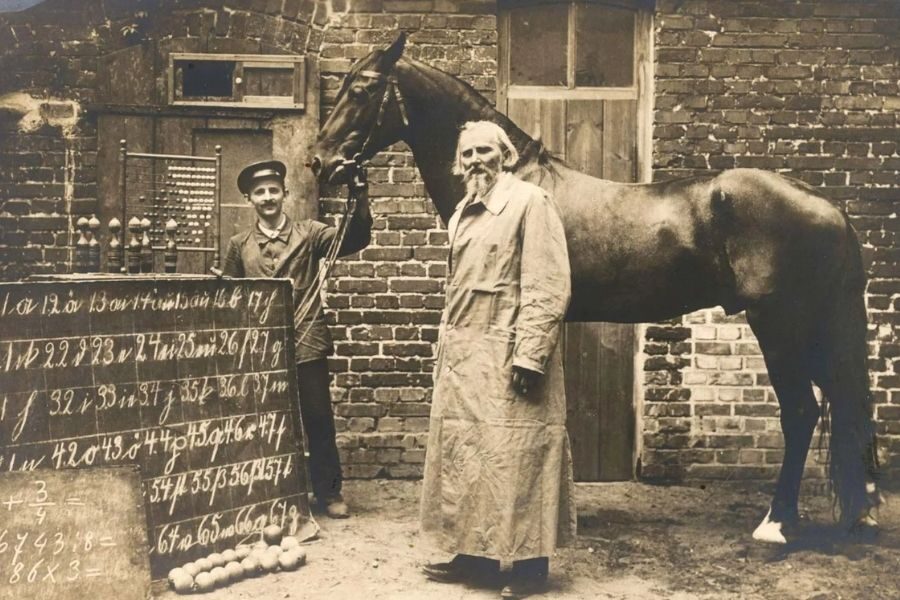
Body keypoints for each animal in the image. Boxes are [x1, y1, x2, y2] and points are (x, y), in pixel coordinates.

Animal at [311, 32, 881, 544]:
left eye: (361, 89)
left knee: (803, 412)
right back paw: (860, 512)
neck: (515, 185)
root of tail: (828, 207)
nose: (321, 161)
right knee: (845, 402)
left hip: (780, 327)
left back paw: (777, 524)